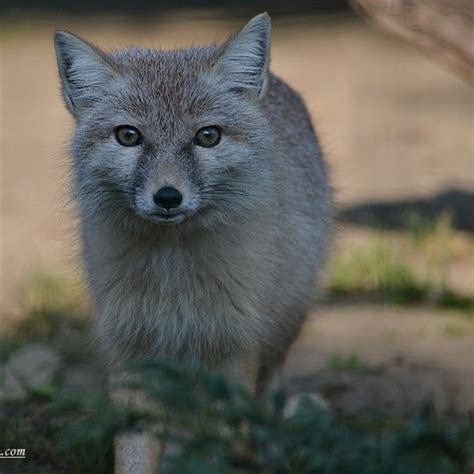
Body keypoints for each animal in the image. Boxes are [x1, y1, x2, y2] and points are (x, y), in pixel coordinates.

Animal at [53, 12, 332, 472]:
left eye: (208, 136)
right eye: (128, 136)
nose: (168, 197)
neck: (174, 275)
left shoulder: (233, 347)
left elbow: (223, 442)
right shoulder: (133, 347)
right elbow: (134, 450)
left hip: (282, 327)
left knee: (267, 397)